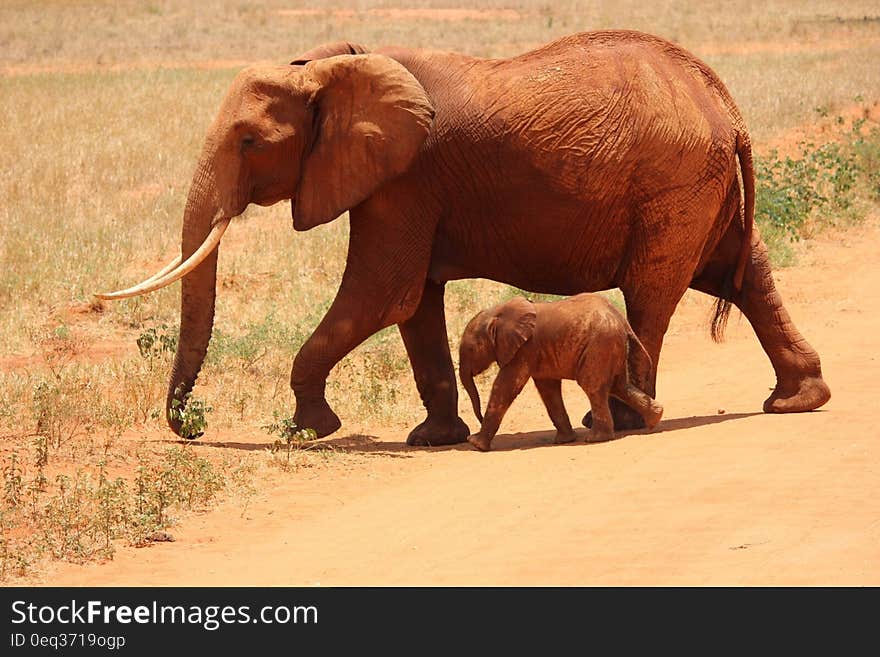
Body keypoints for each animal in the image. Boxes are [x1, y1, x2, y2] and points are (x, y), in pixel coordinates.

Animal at [460, 294, 660, 452]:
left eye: (470, 349)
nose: (478, 419)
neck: (498, 312)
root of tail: (622, 321)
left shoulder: (524, 349)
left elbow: (505, 387)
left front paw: (476, 444)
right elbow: (548, 390)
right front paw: (565, 440)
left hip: (600, 345)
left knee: (593, 387)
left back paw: (595, 439)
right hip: (611, 347)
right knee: (619, 386)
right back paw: (655, 419)